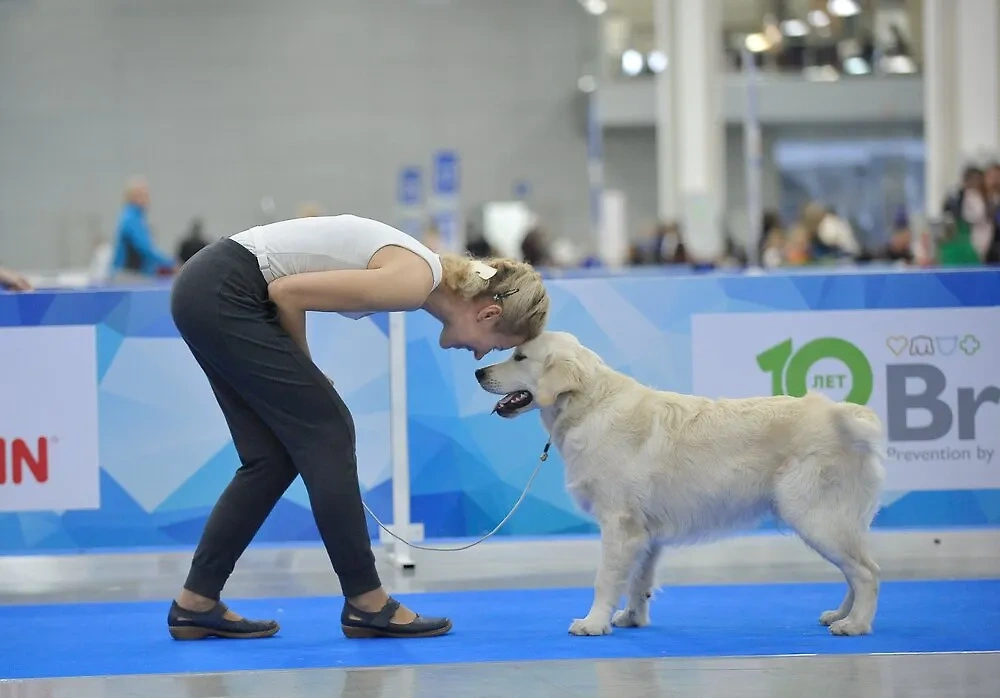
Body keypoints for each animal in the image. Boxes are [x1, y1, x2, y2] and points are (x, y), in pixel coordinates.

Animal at [480, 328, 888, 632]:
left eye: (520, 357)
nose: (478, 373)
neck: (589, 404)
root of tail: (844, 414)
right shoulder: (645, 534)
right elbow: (638, 581)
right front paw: (631, 618)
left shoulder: (619, 524)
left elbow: (606, 579)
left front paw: (593, 623)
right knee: (857, 571)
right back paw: (840, 615)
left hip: (814, 516)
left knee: (867, 572)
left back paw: (855, 625)